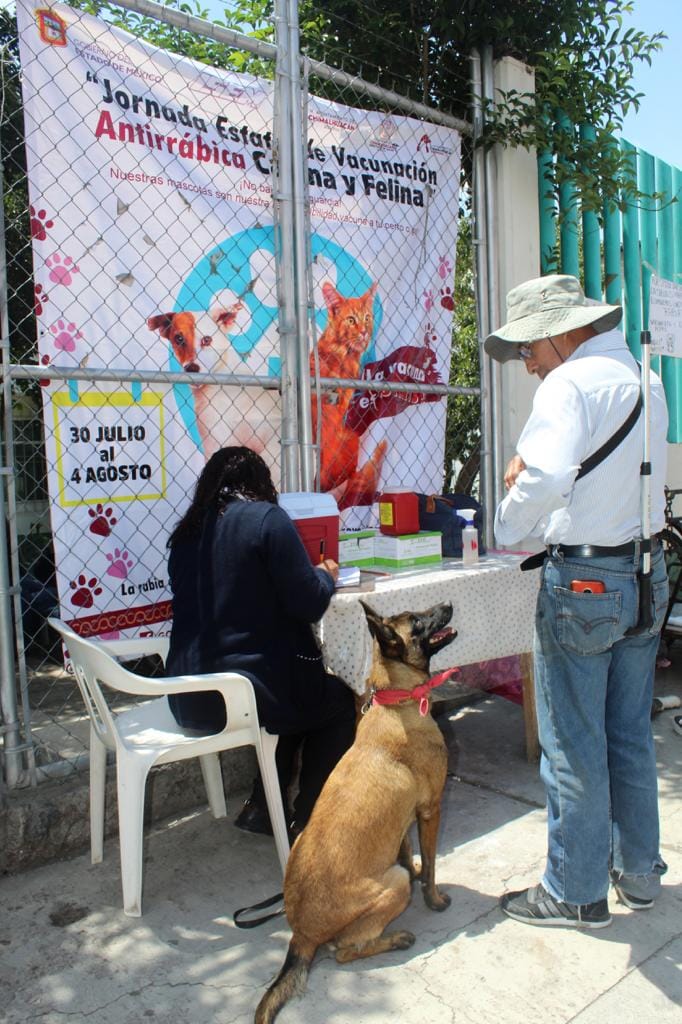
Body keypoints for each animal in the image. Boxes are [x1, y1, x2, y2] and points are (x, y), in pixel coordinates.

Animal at [254, 598, 456, 1024]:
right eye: (417, 622)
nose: (447, 603)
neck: (396, 699)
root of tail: (301, 936)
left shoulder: (403, 824)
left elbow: (408, 853)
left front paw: (418, 870)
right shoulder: (431, 810)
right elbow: (431, 866)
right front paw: (434, 899)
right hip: (391, 886)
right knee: (345, 952)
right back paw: (396, 938)